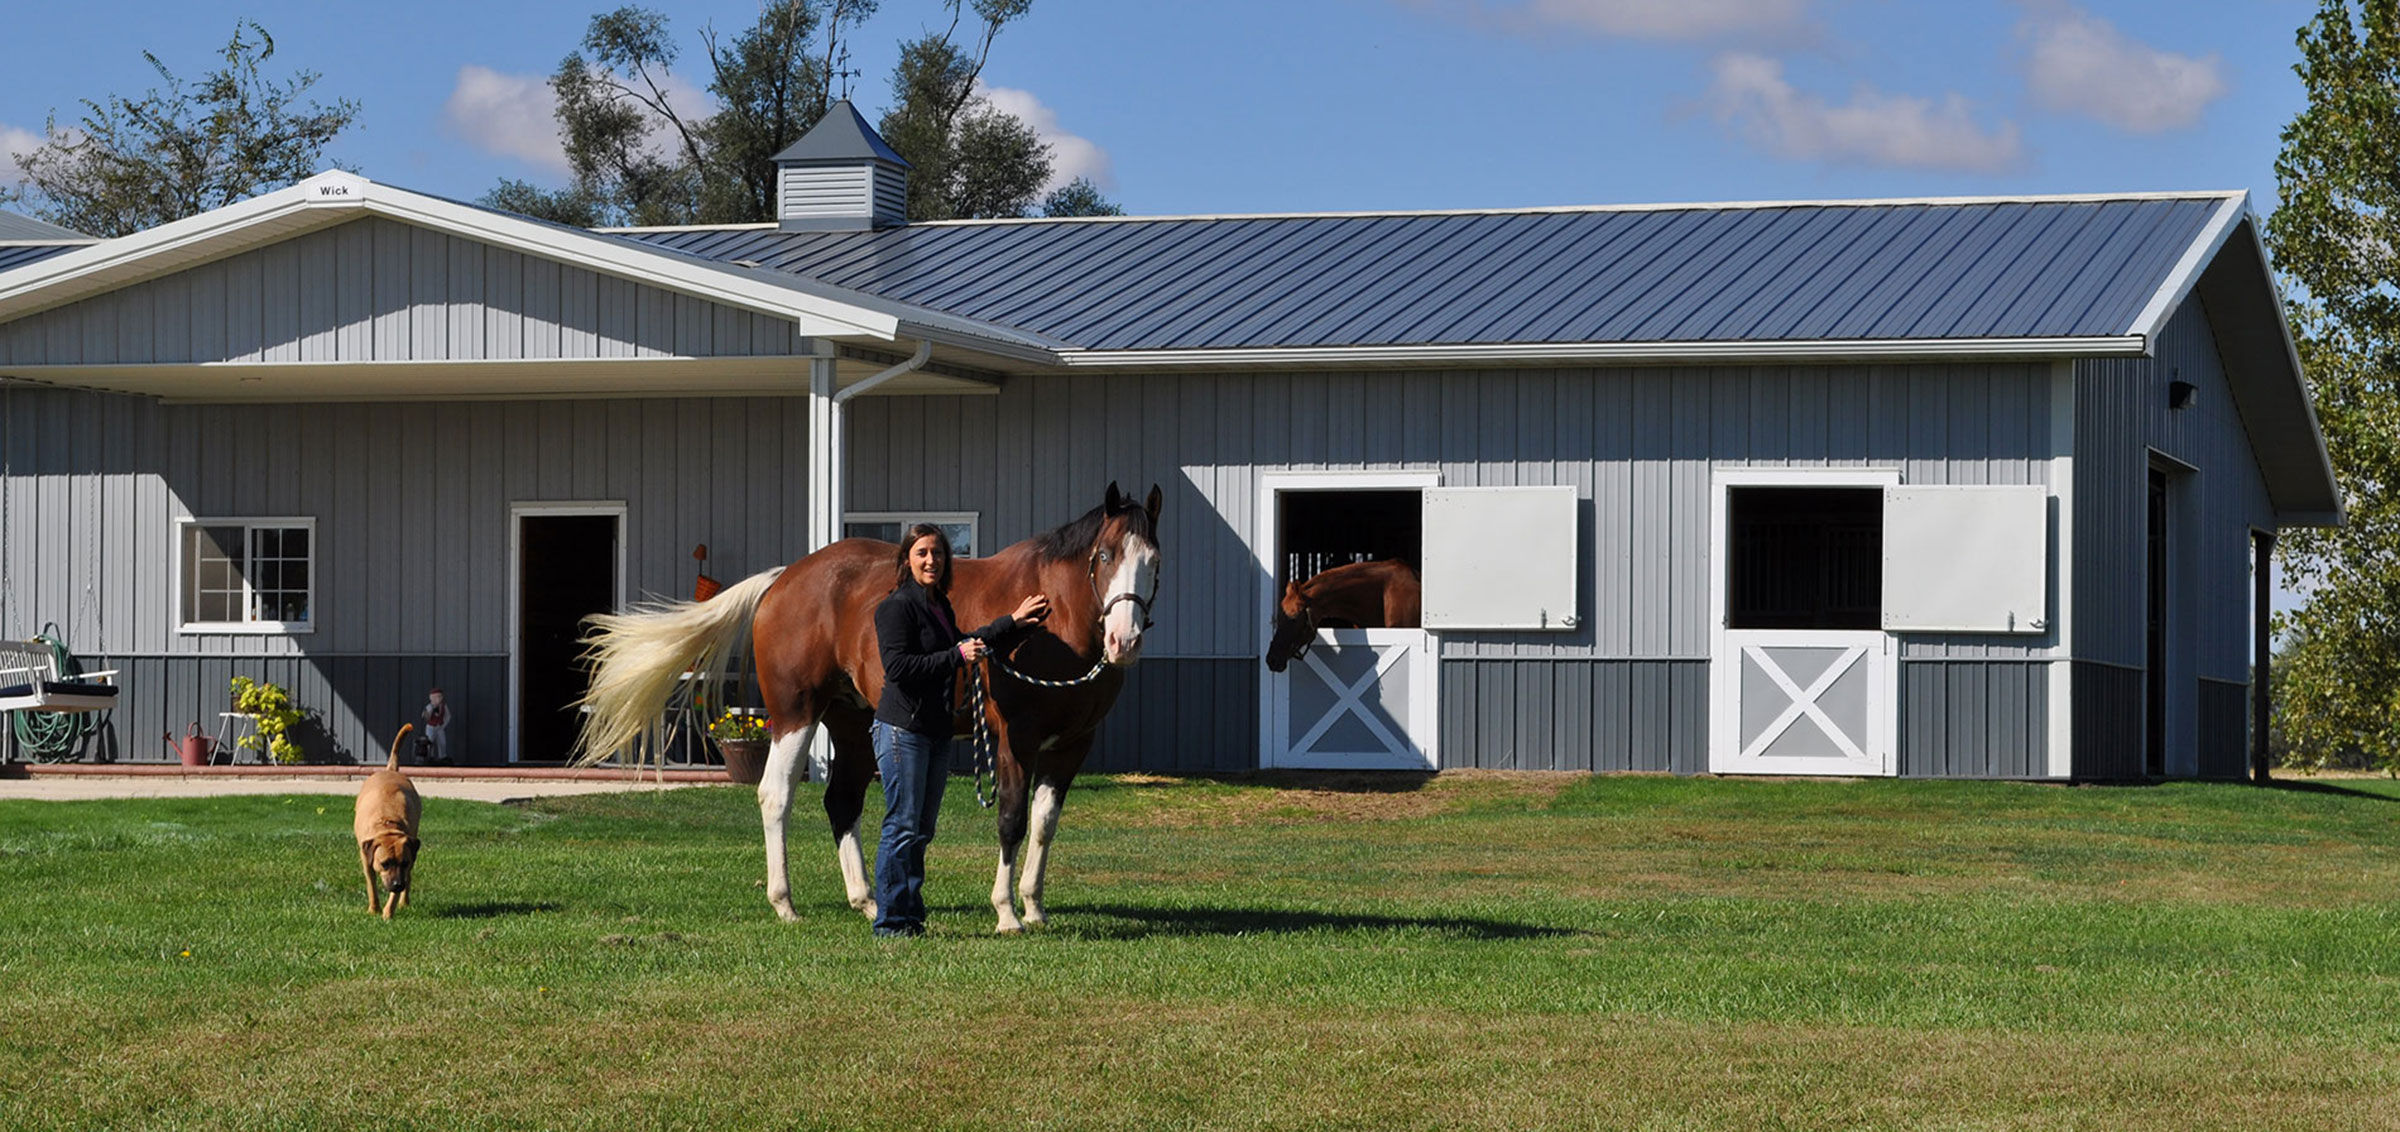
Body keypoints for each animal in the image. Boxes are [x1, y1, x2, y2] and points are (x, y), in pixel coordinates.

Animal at [352, 724, 424, 920]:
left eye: (404, 862)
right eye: (384, 863)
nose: (398, 884)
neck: (387, 825)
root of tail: (391, 770)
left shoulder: (407, 863)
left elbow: (396, 891)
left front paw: (387, 912)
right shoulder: (366, 857)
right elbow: (371, 884)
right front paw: (374, 909)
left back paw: (404, 903)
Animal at [566, 482, 1156, 935]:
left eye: (1152, 560)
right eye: (1106, 556)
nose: (1124, 641)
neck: (1054, 624)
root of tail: (784, 578)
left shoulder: (1071, 746)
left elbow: (1044, 824)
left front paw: (1034, 908)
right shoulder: (1015, 739)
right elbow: (1011, 820)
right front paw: (1007, 913)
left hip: (850, 723)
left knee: (842, 801)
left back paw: (867, 901)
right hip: (795, 715)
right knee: (775, 795)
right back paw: (786, 904)